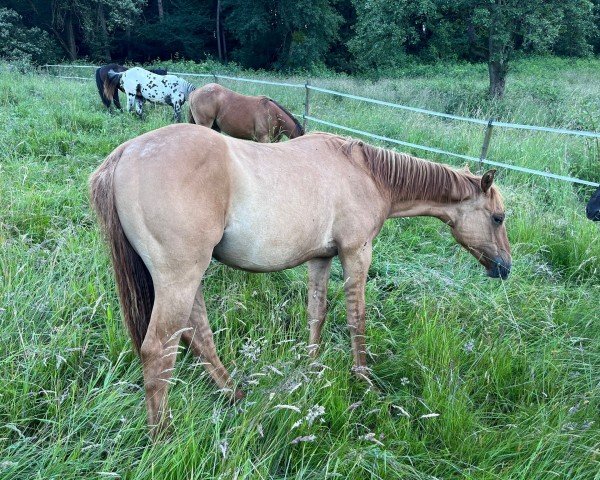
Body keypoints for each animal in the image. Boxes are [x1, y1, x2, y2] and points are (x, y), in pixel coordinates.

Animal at [89, 124, 510, 436]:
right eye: (498, 217)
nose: (504, 267)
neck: (366, 173)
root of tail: (125, 154)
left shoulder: (321, 258)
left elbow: (316, 312)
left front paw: (312, 368)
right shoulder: (356, 252)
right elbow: (357, 319)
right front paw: (364, 380)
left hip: (188, 280)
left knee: (197, 334)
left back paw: (235, 394)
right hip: (180, 277)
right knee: (159, 350)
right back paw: (164, 435)